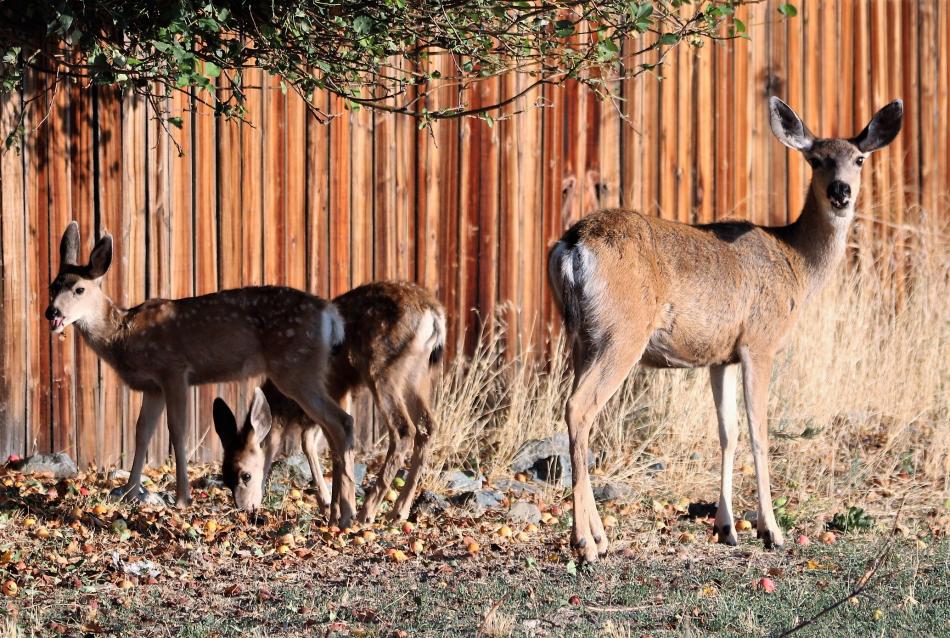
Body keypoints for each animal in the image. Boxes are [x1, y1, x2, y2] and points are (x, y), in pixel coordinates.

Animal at [46, 222, 358, 526]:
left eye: (79, 289)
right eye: (52, 286)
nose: (52, 312)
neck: (123, 334)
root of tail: (331, 316)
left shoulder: (174, 370)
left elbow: (177, 430)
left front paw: (182, 499)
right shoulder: (152, 386)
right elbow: (142, 432)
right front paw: (130, 493)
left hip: (296, 367)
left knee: (342, 422)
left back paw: (345, 514)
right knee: (330, 429)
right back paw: (334, 511)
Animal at [212, 281, 445, 523]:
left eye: (245, 475)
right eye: (225, 477)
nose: (244, 508)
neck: (284, 407)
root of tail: (433, 314)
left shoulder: (332, 389)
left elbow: (326, 443)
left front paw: (335, 511)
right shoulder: (340, 394)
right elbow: (313, 442)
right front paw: (329, 505)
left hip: (382, 369)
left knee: (403, 429)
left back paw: (367, 512)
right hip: (416, 372)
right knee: (428, 426)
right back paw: (399, 511)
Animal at [547, 97, 903, 562]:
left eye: (859, 159)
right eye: (816, 159)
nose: (840, 192)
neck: (796, 263)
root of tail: (573, 244)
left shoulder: (721, 357)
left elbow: (727, 433)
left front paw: (727, 527)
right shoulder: (760, 341)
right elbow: (758, 431)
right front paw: (771, 530)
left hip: (580, 335)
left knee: (577, 409)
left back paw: (599, 536)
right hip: (621, 330)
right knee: (579, 407)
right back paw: (587, 543)